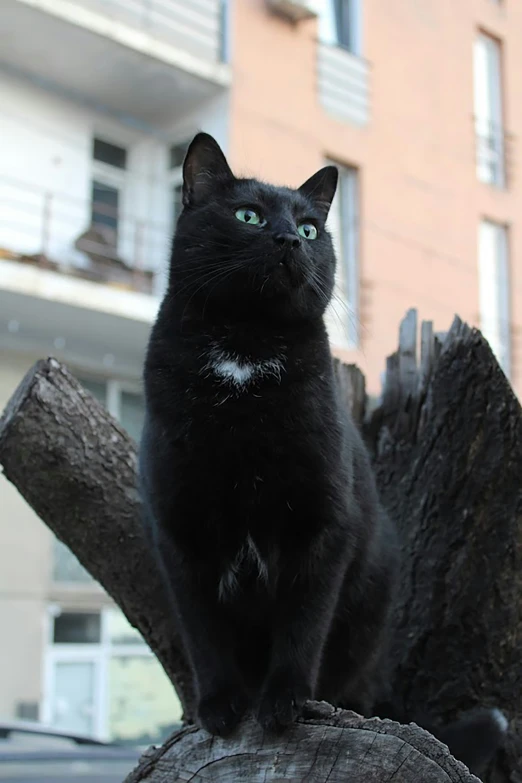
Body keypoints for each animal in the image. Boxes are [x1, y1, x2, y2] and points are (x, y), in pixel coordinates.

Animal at [139, 135, 504, 776]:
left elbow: (304, 622)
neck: (244, 354)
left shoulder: (324, 524)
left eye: (310, 228)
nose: (289, 240)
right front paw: (220, 708)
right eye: (249, 216)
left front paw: (284, 704)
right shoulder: (179, 532)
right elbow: (204, 632)